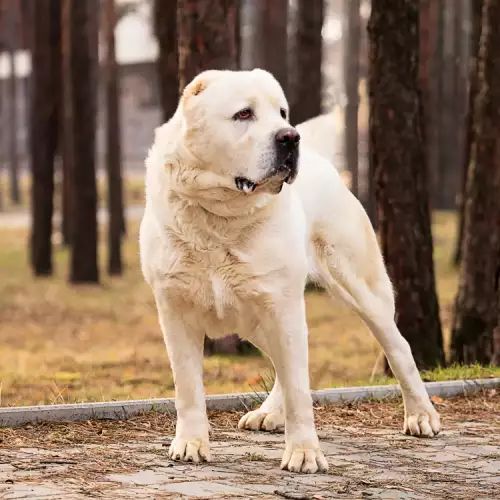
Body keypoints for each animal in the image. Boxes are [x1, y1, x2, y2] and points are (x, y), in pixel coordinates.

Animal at [139, 68, 440, 474]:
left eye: (281, 112)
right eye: (244, 114)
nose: (289, 135)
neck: (221, 216)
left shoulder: (282, 306)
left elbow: (299, 388)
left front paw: (304, 453)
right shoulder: (175, 310)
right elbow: (187, 387)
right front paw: (190, 443)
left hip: (359, 289)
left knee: (398, 348)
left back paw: (421, 416)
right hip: (257, 317)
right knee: (283, 364)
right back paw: (268, 413)